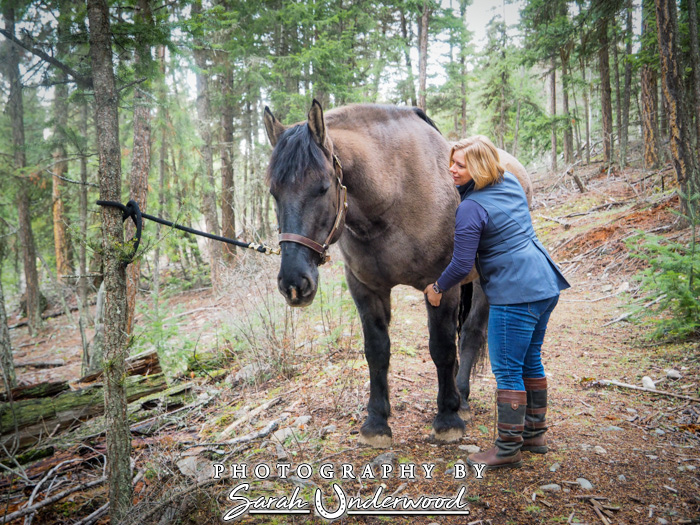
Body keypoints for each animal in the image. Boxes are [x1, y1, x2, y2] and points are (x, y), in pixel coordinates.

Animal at [266, 99, 528, 446]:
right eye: (274, 193)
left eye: (322, 189)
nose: (294, 284)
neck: (396, 194)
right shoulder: (365, 289)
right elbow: (377, 351)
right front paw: (376, 422)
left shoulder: (442, 286)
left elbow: (442, 347)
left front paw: (447, 418)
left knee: (472, 333)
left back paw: (462, 397)